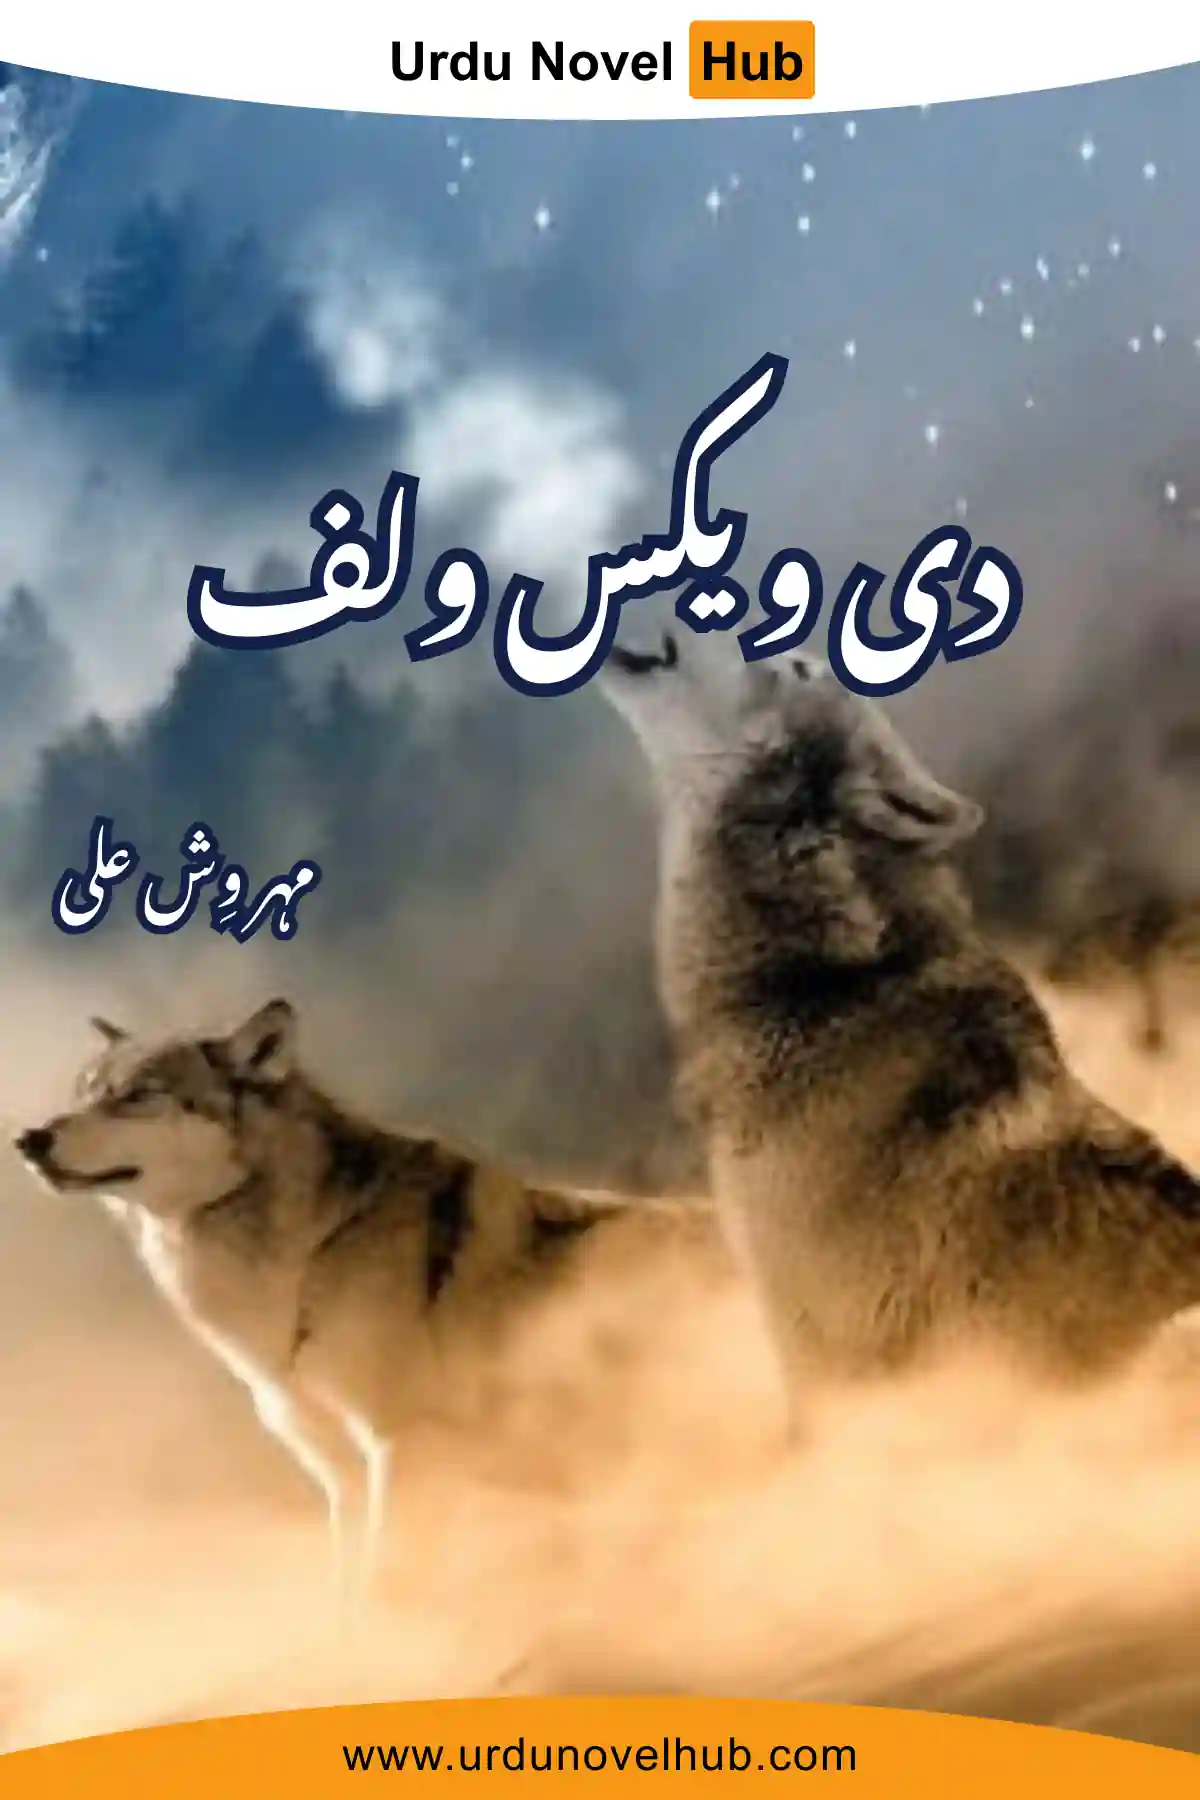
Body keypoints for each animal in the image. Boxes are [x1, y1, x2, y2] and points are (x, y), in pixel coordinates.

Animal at [15, 999, 722, 1603]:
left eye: (138, 1096)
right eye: (84, 1091)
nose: (30, 1140)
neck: (312, 1250)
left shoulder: (399, 1444)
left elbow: (386, 1583)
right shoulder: (343, 1476)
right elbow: (348, 1586)